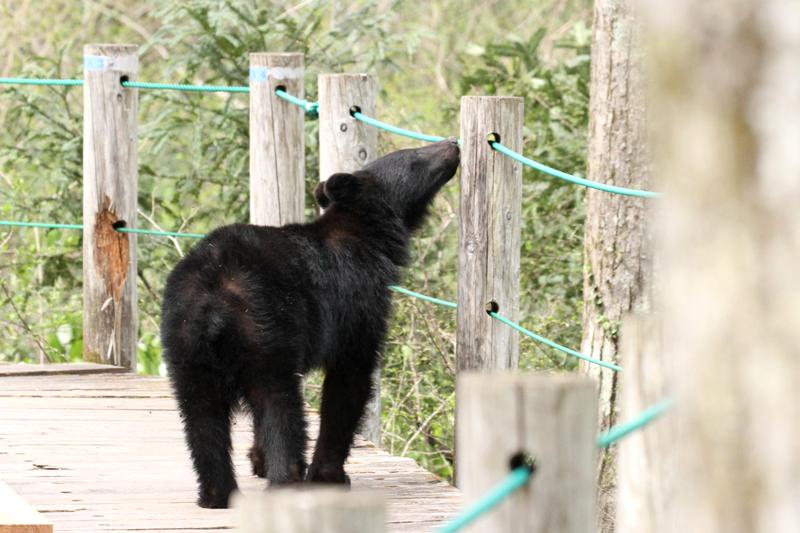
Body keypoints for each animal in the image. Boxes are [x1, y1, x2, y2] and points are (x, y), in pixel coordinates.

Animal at [160, 137, 460, 508]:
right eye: (414, 158)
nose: (453, 143)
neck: (368, 235)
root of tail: (210, 301)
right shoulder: (355, 302)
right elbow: (349, 380)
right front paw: (330, 474)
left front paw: (259, 461)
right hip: (263, 328)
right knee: (278, 403)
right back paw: (286, 479)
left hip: (184, 342)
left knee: (200, 413)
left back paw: (216, 493)